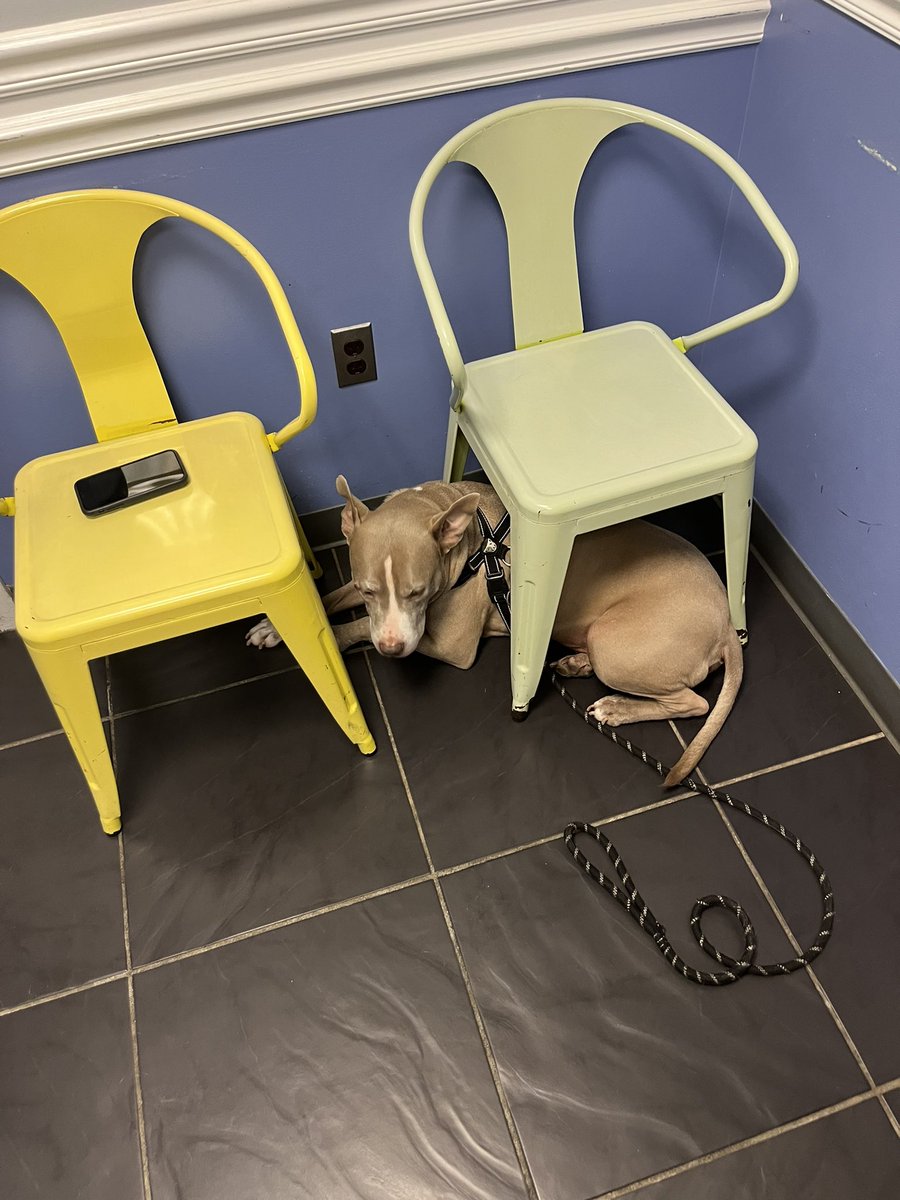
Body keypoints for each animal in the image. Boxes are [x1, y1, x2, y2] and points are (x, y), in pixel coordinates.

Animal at [250, 477, 744, 787]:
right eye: (370, 589)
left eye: (418, 591)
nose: (391, 648)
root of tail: (725, 622)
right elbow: (331, 599)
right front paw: (272, 626)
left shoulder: (447, 642)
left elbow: (351, 627)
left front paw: (329, 639)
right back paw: (574, 662)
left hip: (615, 642)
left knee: (693, 703)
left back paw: (617, 708)